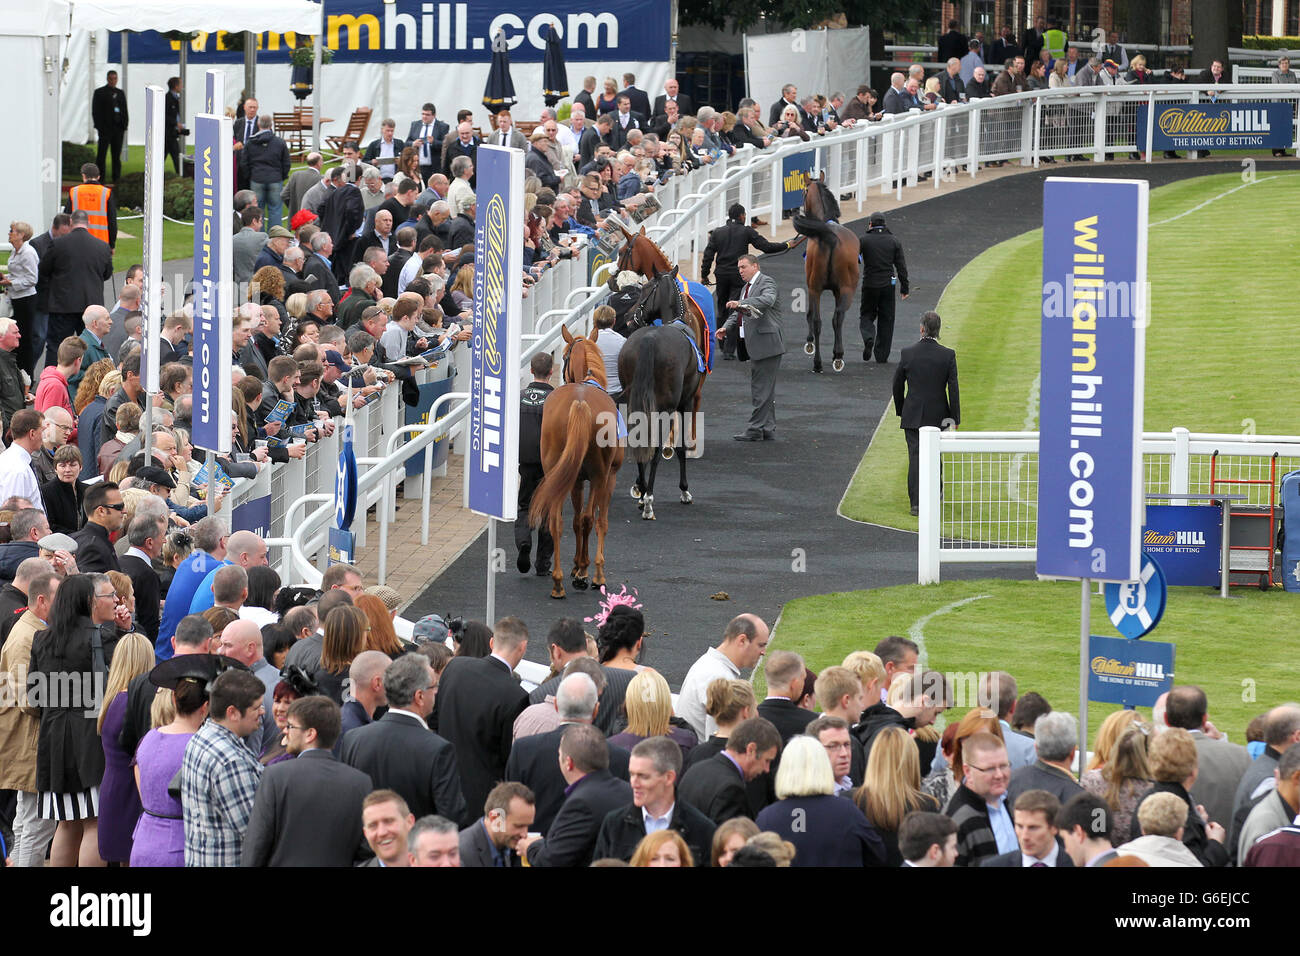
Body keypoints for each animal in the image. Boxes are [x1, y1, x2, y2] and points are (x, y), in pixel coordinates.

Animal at [530, 325, 626, 600]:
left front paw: (575, 567)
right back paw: (591, 576)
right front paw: (585, 570)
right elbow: (597, 521)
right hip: (600, 475)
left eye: (563, 355)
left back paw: (558, 582)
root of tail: (581, 402)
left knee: (556, 521)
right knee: (589, 519)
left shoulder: (575, 480)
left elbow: (574, 521)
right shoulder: (607, 477)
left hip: (558, 472)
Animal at [616, 265, 702, 522]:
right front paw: (685, 491)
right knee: (653, 449)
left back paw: (643, 492)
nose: (629, 317)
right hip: (666, 406)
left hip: (632, 401)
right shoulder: (684, 403)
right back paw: (649, 502)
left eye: (644, 288)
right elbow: (680, 447)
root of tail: (649, 339)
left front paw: (640, 489)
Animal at [790, 171, 863, 374]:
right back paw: (835, 357)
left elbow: (810, 314)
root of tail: (830, 237)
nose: (798, 210)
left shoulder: (812, 287)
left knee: (820, 320)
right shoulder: (835, 290)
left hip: (819, 288)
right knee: (835, 318)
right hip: (845, 290)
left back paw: (822, 360)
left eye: (803, 191)